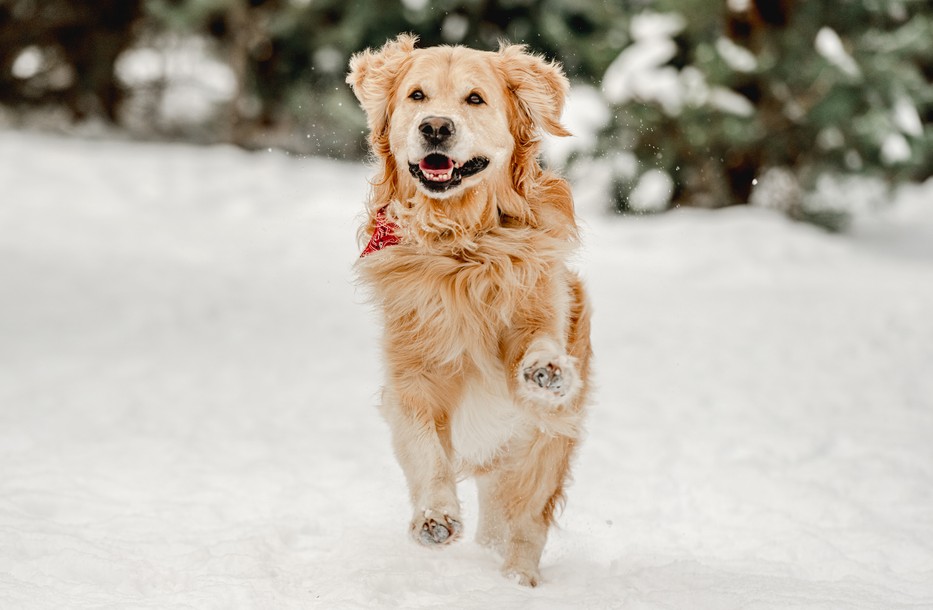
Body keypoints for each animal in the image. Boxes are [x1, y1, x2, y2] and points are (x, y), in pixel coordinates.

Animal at [346, 33, 592, 584]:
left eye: (474, 99)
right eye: (417, 95)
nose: (436, 126)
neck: (461, 248)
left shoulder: (541, 309)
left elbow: (537, 337)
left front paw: (544, 368)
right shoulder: (411, 377)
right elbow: (425, 451)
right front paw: (435, 517)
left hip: (543, 444)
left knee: (524, 521)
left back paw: (517, 580)